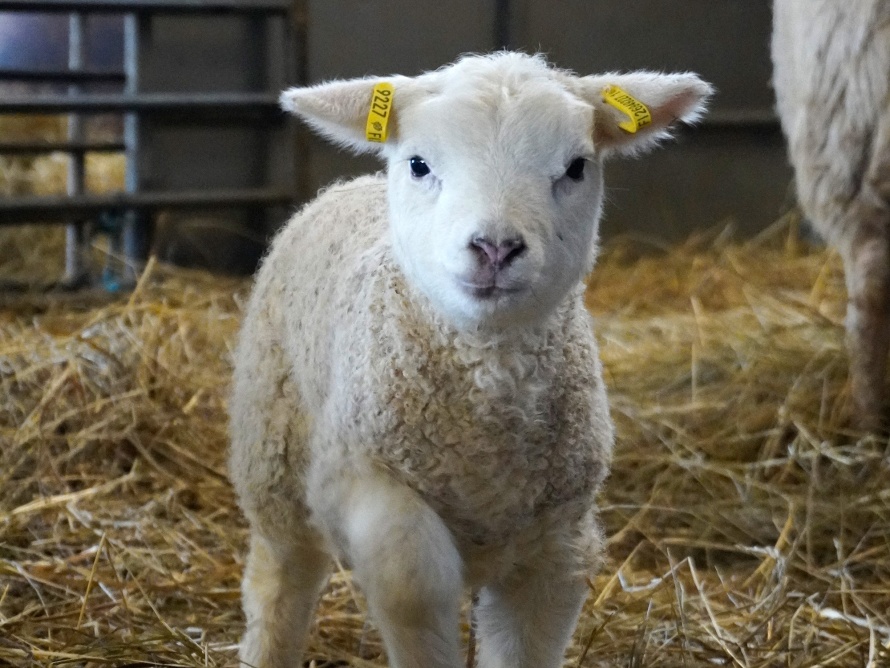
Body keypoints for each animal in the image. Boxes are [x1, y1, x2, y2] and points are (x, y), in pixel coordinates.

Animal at [228, 51, 711, 668]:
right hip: (274, 454)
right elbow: (414, 587)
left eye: (576, 167)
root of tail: (349, 184)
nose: (496, 248)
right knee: (281, 581)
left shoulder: (557, 537)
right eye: (418, 164)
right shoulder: (364, 481)